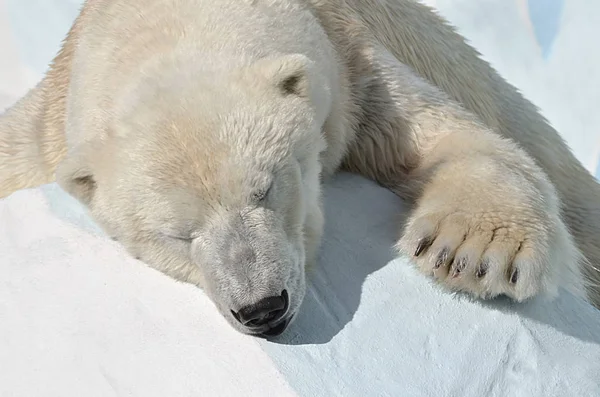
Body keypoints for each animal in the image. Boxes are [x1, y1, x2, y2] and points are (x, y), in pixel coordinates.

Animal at [1, 0, 600, 338]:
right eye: (176, 234)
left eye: (267, 188)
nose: (262, 309)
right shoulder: (43, 133)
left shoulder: (353, 64)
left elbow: (452, 136)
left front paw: (471, 251)